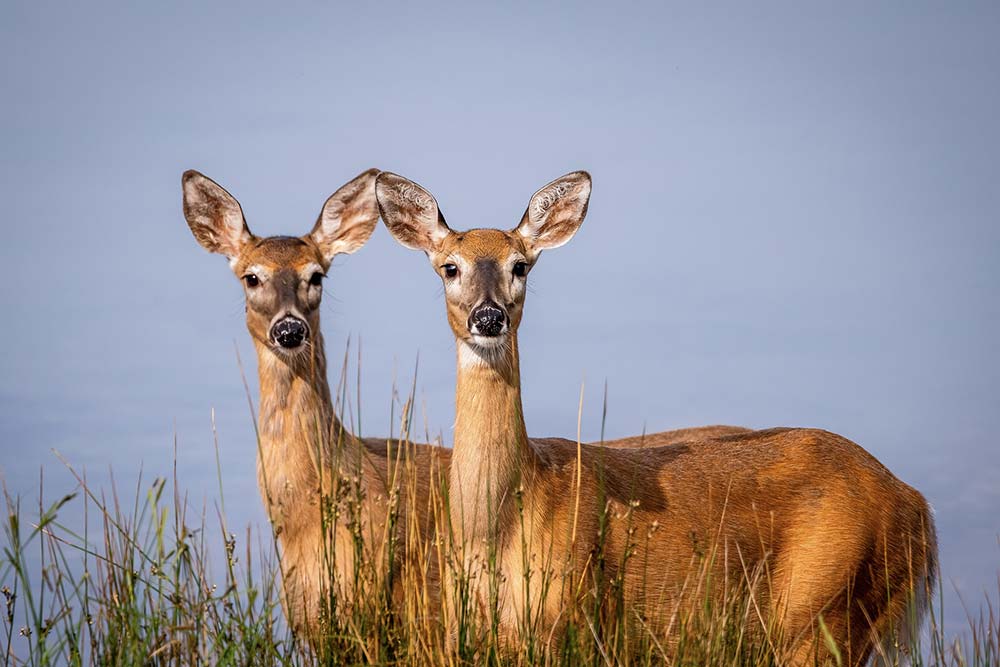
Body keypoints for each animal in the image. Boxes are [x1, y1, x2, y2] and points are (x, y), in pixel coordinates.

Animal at [376, 170, 938, 666]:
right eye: (449, 266)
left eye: (521, 265)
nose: (489, 317)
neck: (500, 528)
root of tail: (916, 505)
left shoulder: (572, 620)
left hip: (828, 609)